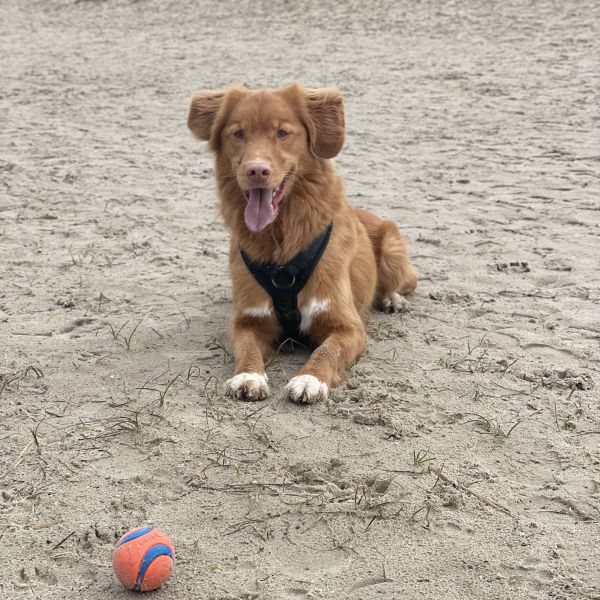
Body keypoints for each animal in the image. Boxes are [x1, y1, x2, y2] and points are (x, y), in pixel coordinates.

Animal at [188, 83, 418, 404]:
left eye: (283, 133)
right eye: (238, 133)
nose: (256, 170)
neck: (281, 242)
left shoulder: (348, 326)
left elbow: (327, 350)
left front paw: (310, 379)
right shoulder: (247, 320)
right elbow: (246, 347)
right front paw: (248, 376)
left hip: (392, 249)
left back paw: (392, 299)